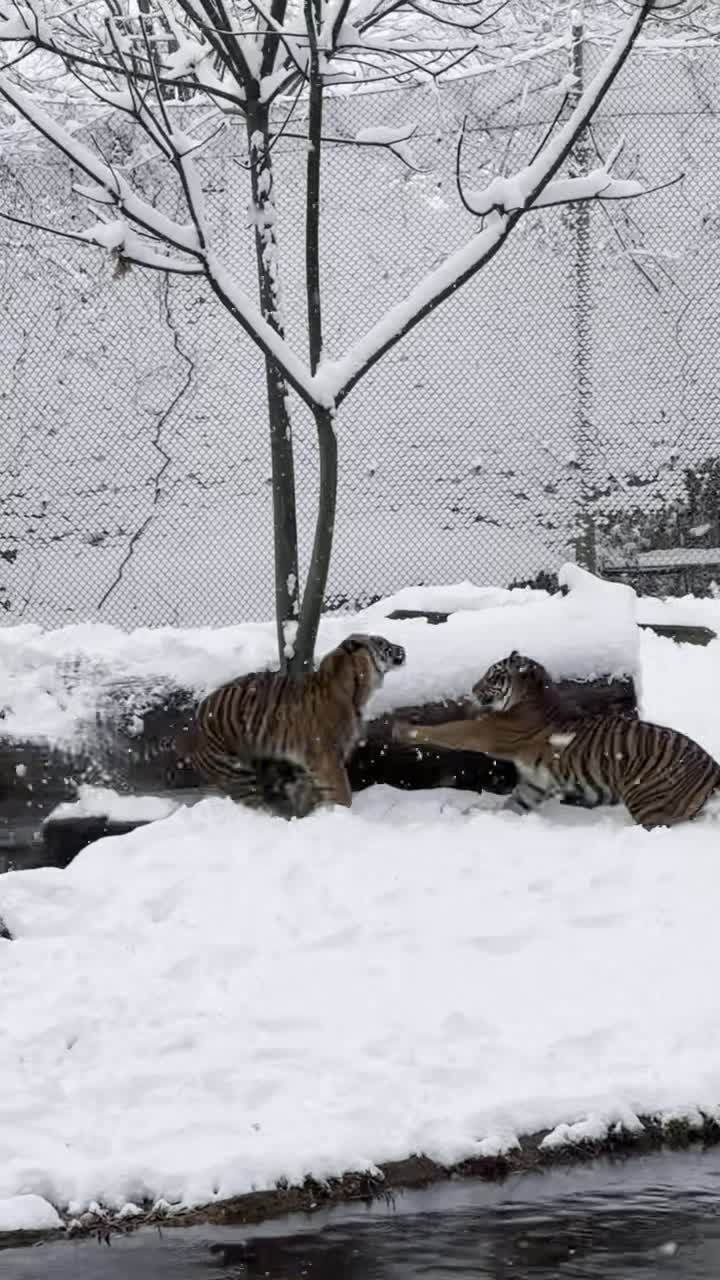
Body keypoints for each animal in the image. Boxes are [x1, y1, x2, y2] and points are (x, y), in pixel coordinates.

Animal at [189, 632, 404, 819]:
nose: (402, 649)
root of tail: (196, 721)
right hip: (238, 774)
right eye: (382, 643)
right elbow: (342, 793)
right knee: (257, 805)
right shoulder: (327, 758)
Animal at [392, 650, 717, 829]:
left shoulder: (486, 732)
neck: (531, 697)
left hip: (647, 801)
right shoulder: (535, 783)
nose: (472, 688)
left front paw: (401, 729)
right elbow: (513, 805)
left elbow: (448, 730)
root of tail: (713, 766)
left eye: (492, 675)